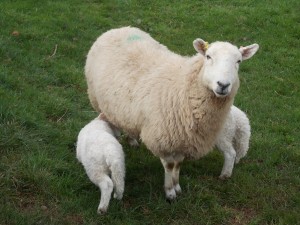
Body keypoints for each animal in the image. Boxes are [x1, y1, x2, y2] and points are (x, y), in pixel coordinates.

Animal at [84, 26, 258, 200]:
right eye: (208, 56)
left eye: (238, 61)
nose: (223, 85)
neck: (183, 87)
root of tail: (118, 29)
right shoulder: (163, 139)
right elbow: (169, 165)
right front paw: (169, 192)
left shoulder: (183, 140)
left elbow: (178, 164)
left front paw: (177, 186)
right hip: (98, 101)